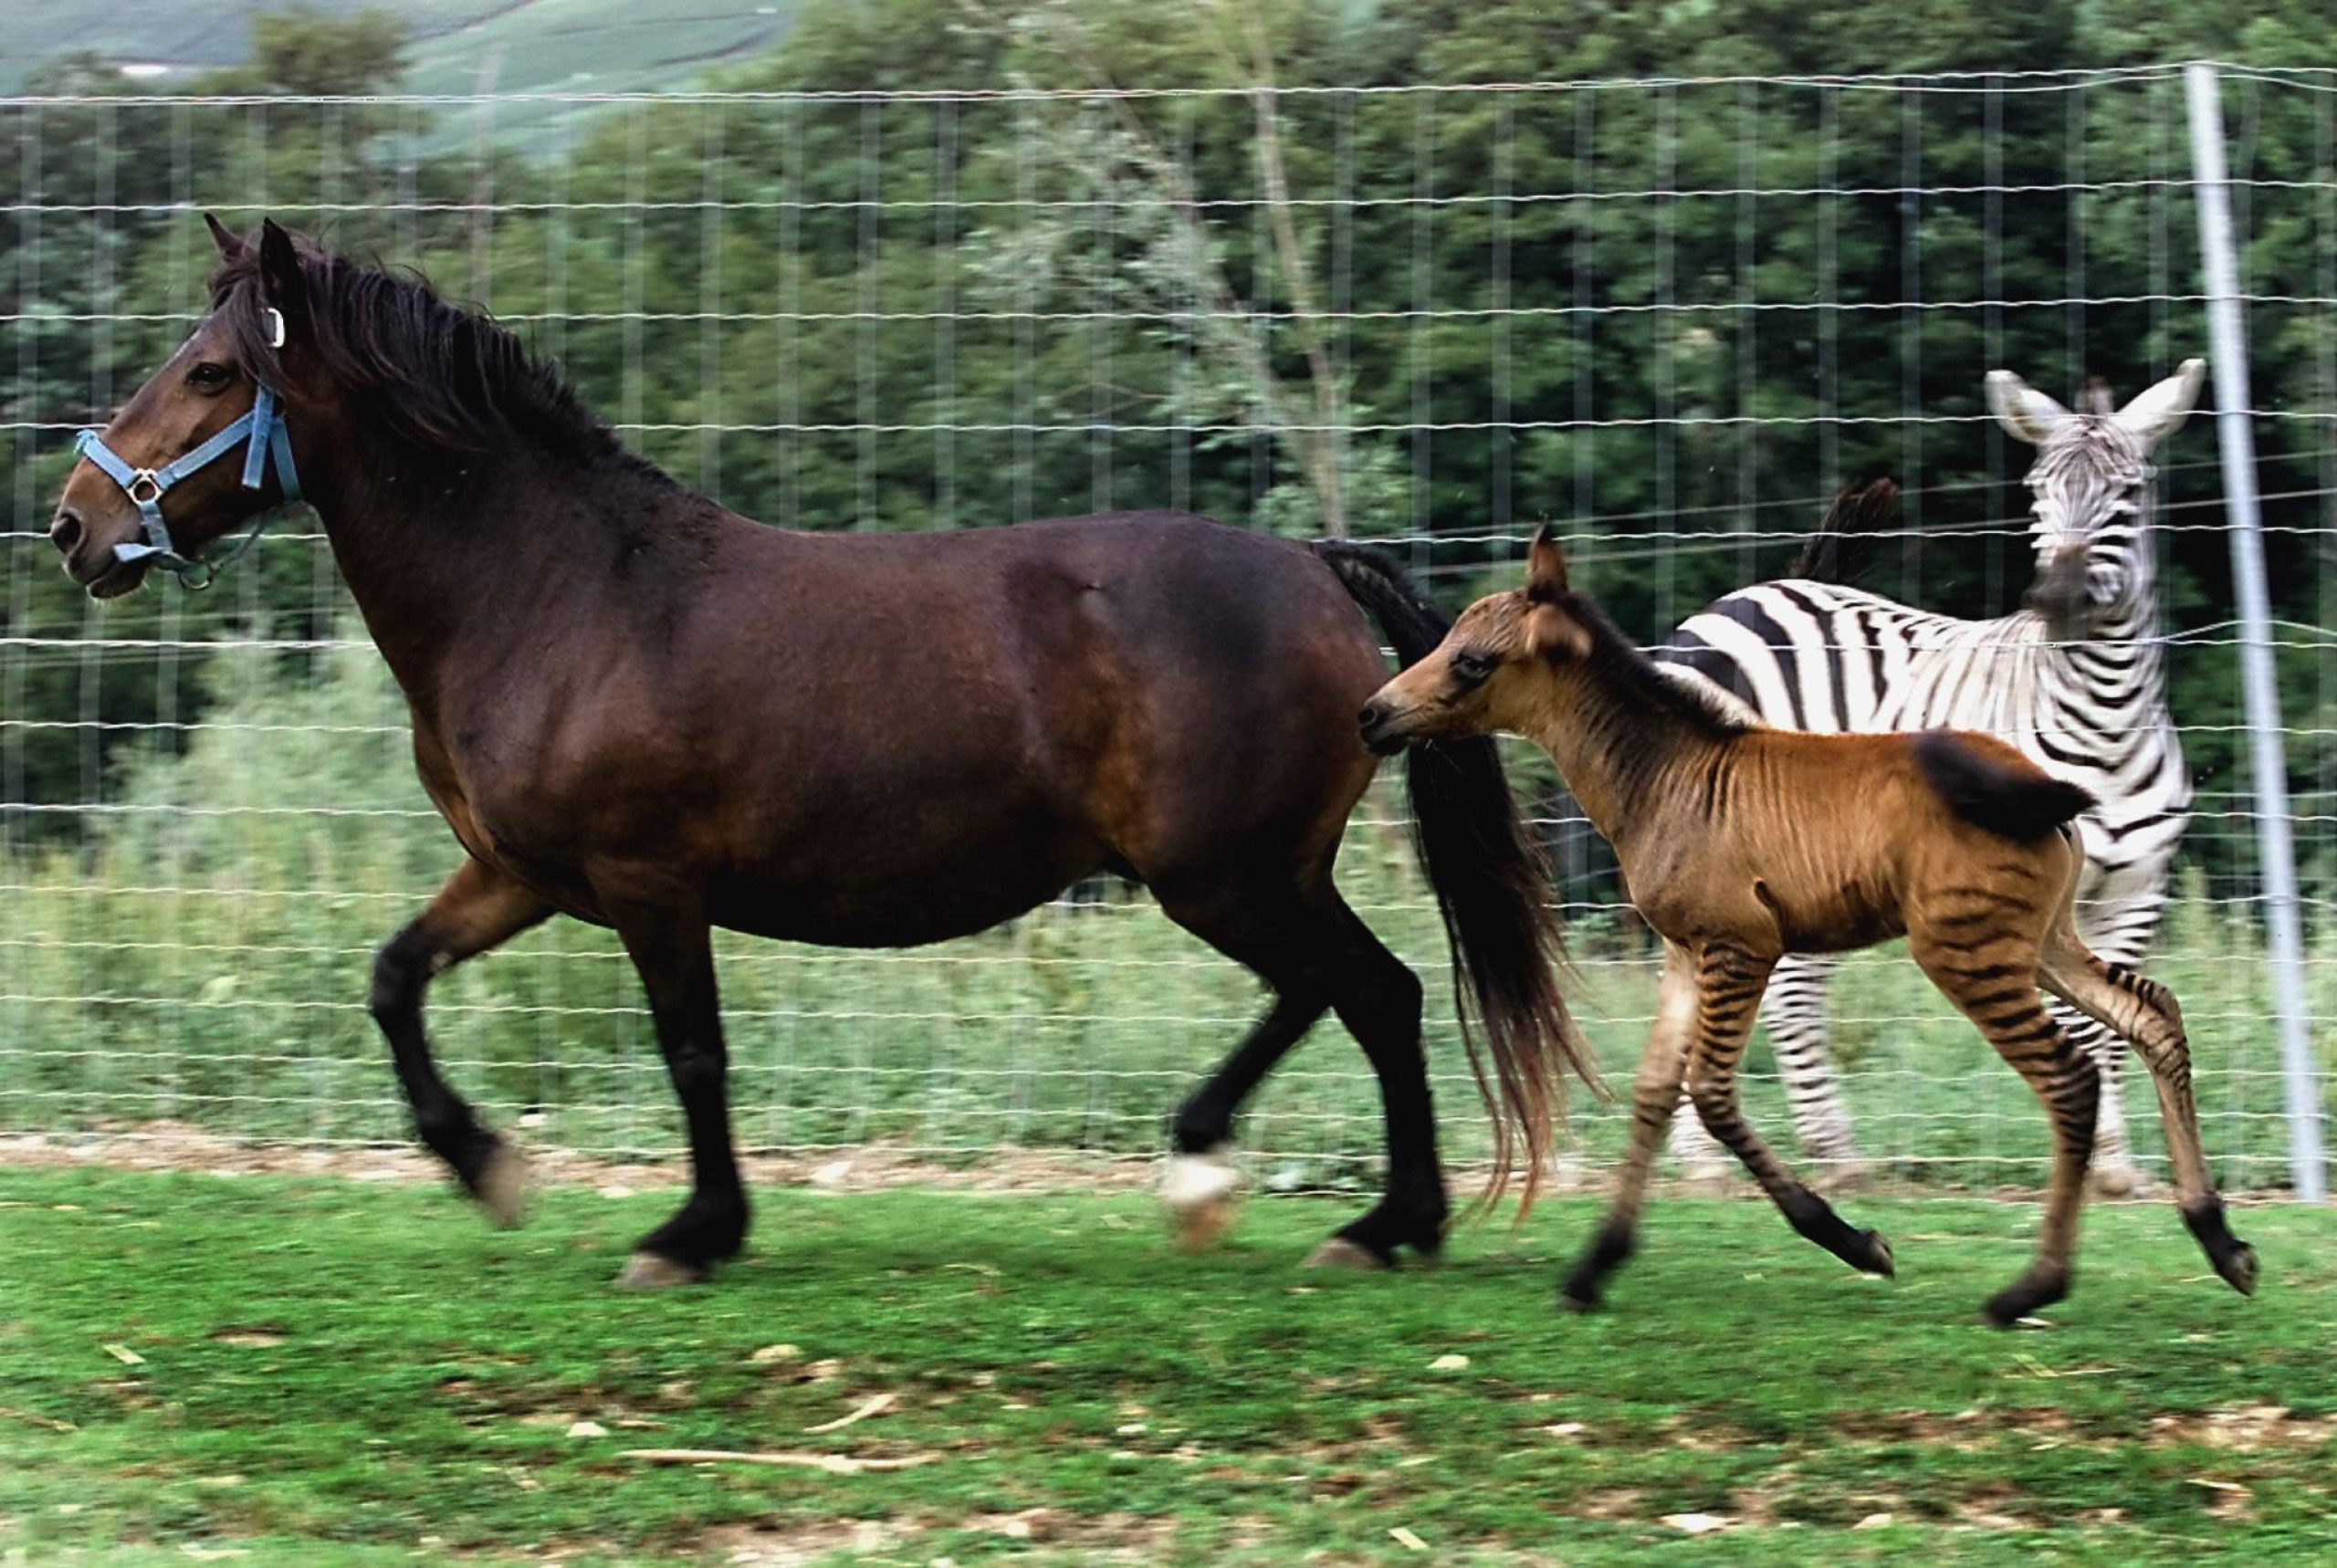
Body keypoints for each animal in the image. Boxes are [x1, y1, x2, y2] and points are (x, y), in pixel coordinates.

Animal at [50, 217, 1608, 1290]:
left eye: (207, 371)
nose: (73, 525)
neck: (561, 593)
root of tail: (1311, 568)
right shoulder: (521, 875)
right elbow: (392, 980)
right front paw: (487, 1168)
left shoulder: (647, 884)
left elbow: (693, 1051)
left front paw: (691, 1231)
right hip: (1251, 869)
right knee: (1358, 992)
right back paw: (1334, 1205)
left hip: (1219, 871)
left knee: (1360, 991)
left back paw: (1308, 1200)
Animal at [1365, 528, 2252, 1327]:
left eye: (1472, 661)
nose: (1374, 714)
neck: (1669, 775)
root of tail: (2043, 787)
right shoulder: (1686, 953)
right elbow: (1654, 1093)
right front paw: (1593, 1268)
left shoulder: (1742, 947)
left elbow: (1711, 1095)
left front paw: (1853, 1240)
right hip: (2042, 943)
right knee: (2152, 1013)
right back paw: (2219, 1239)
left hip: (1966, 950)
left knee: (2072, 1076)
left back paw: (2032, 1289)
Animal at [1654, 361, 2196, 1196]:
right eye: (2036, 492)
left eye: (2128, 494)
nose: (2059, 600)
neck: (2103, 721)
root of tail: (1776, 586)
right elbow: (2082, 1020)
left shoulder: (2137, 892)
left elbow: (2110, 1020)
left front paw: (2114, 1168)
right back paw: (1714, 1161)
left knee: (1790, 985)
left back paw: (1826, 1153)